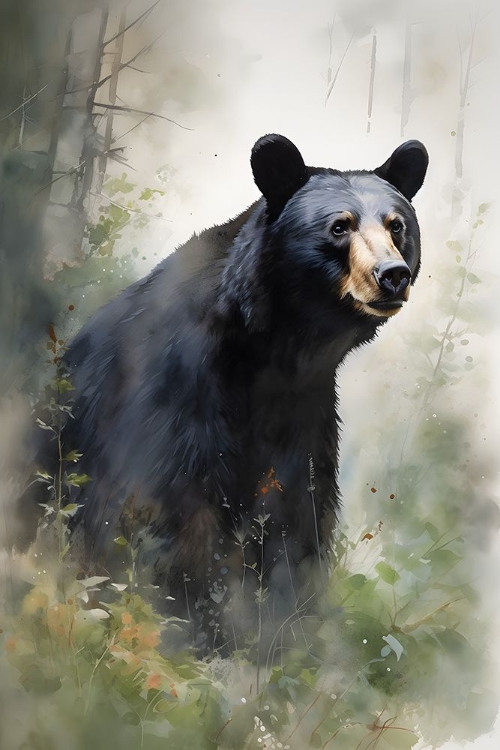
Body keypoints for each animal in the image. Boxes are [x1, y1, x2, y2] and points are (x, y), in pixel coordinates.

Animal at [20, 134, 428, 653]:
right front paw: (192, 629)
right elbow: (162, 512)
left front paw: (284, 630)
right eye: (340, 226)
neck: (268, 350)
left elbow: (296, 512)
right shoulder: (177, 398)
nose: (392, 275)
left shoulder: (304, 412)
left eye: (397, 226)